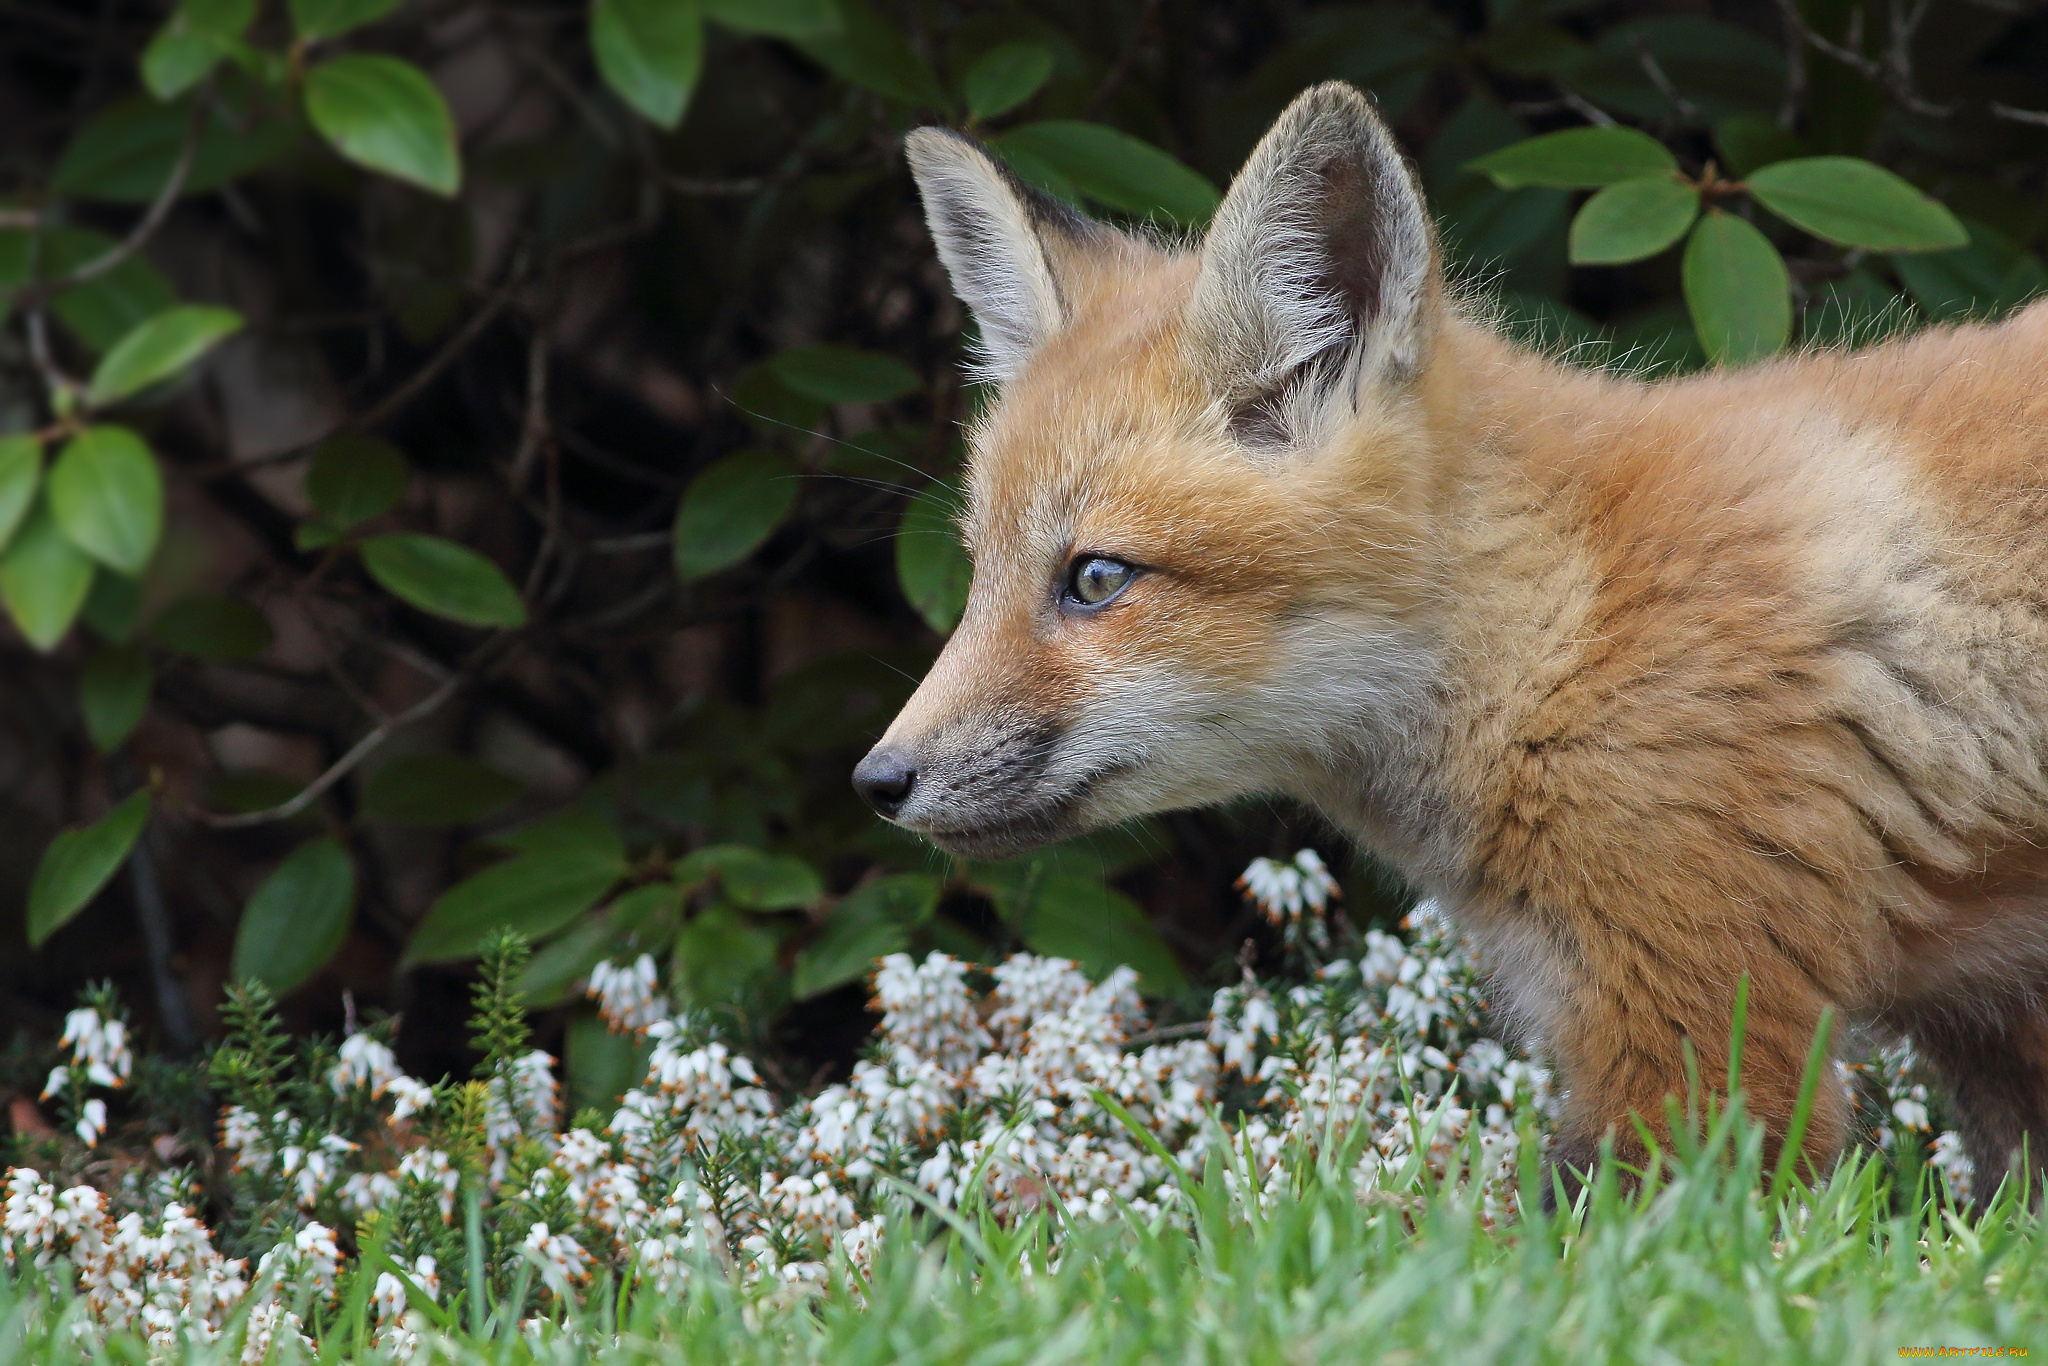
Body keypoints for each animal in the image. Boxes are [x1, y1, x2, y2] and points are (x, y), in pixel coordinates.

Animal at [851, 82, 2048, 1196]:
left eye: (1096, 579)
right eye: (978, 573)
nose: (877, 782)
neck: (1559, 640)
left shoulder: (1703, 1039)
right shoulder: (1988, 1029)